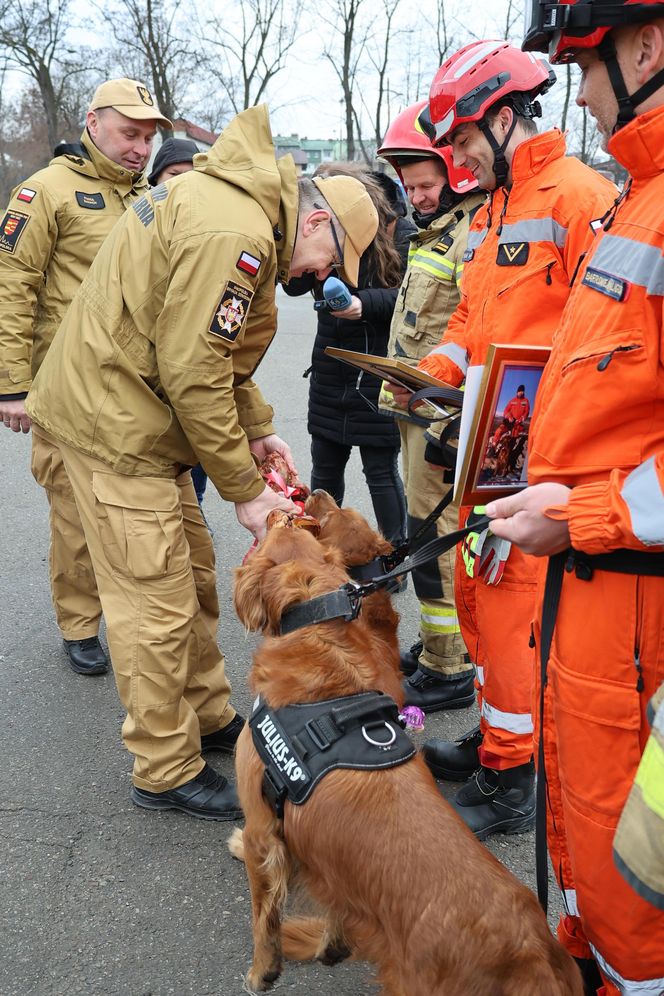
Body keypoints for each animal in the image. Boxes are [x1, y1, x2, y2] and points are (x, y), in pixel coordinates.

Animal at [230, 524, 580, 992]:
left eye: (277, 527)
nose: (277, 513)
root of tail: (532, 958)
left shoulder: (262, 825)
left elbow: (262, 917)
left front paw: (262, 970)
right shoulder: (335, 870)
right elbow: (336, 906)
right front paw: (329, 945)